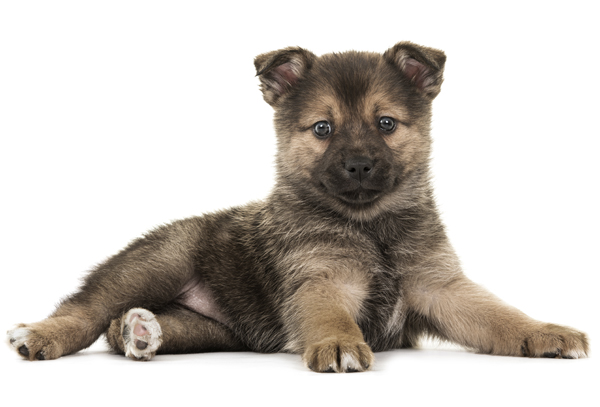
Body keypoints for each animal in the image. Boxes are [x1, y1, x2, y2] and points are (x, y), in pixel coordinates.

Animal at [7, 42, 588, 372]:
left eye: (386, 123)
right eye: (322, 129)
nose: (358, 166)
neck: (370, 227)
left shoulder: (439, 286)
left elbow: (500, 317)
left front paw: (546, 332)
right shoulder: (319, 279)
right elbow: (329, 316)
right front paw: (337, 343)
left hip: (223, 328)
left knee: (132, 326)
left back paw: (142, 333)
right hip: (156, 263)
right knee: (87, 308)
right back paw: (42, 335)